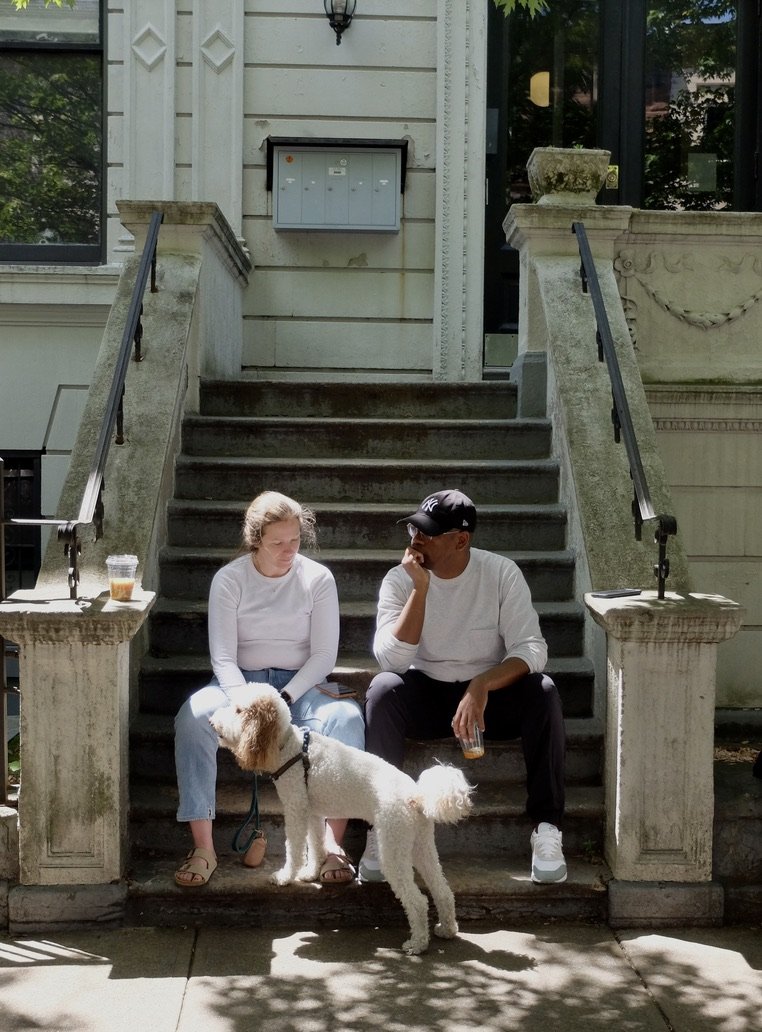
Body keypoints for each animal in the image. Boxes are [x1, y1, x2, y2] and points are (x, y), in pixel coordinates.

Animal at [207, 681, 468, 953]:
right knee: (442, 890)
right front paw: (311, 874)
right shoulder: (313, 813)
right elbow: (315, 845)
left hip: (393, 847)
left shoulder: (296, 809)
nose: (212, 722)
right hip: (420, 845)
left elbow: (295, 849)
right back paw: (447, 929)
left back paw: (417, 944)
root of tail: (417, 795)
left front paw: (285, 877)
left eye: (239, 710)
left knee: (417, 901)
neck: (291, 747)